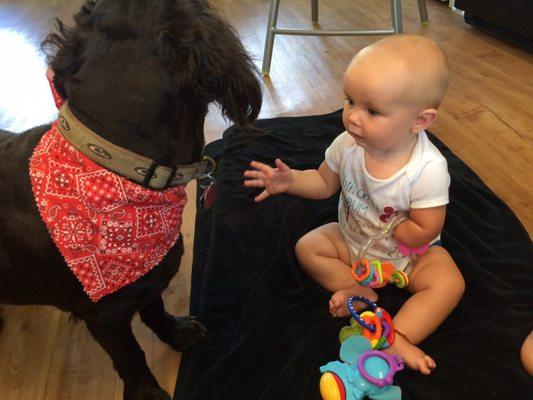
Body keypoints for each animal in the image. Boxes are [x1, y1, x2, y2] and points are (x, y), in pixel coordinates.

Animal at [0, 1, 262, 398]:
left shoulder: (149, 281)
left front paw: (177, 333)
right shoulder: (104, 318)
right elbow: (132, 357)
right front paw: (148, 393)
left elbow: (154, 310)